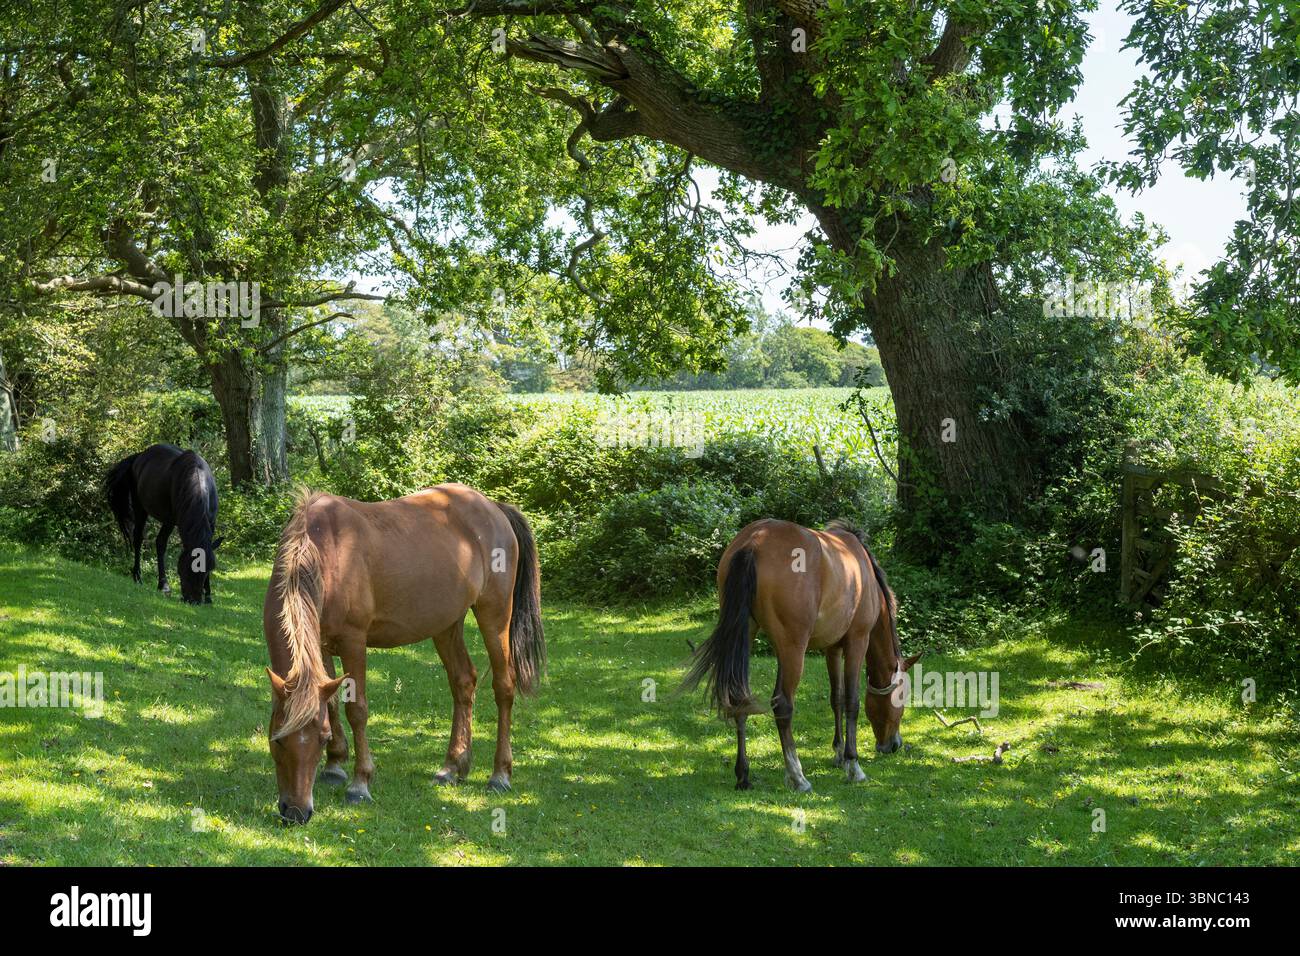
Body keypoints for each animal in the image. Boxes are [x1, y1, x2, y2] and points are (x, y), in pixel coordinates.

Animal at [105, 443, 221, 605]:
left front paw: (209, 595)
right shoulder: (171, 520)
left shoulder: (211, 523)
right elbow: (161, 543)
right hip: (140, 508)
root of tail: (139, 456)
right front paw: (164, 586)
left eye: (207, 570)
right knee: (140, 538)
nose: (193, 601)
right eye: (184, 568)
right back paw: (141, 578)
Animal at [264, 483, 546, 824]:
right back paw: (452, 766)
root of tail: (493, 508)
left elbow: (356, 709)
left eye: (320, 739)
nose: (296, 812)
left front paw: (360, 783)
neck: (324, 554)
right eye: (277, 739)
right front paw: (334, 765)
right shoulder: (320, 644)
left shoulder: (352, 641)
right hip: (446, 624)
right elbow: (329, 703)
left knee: (504, 686)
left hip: (495, 614)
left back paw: (500, 774)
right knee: (463, 682)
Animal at [682, 518, 920, 792]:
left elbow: (836, 698)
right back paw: (797, 776)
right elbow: (852, 701)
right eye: (902, 698)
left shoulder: (832, 649)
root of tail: (754, 541)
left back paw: (743, 775)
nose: (893, 745)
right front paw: (852, 764)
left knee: (739, 697)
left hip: (747, 635)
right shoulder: (857, 642)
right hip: (793, 648)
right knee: (783, 704)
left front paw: (838, 753)